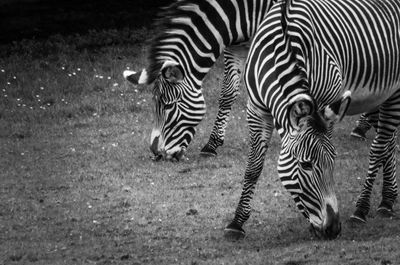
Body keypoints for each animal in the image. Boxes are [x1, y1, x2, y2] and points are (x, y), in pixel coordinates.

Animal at [225, 0, 400, 239]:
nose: (333, 229)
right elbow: (253, 168)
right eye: (306, 165)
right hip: (381, 95)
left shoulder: (328, 102)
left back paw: (361, 209)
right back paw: (387, 200)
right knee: (388, 141)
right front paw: (236, 223)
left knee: (380, 147)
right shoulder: (256, 110)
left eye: (333, 161)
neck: (283, 46)